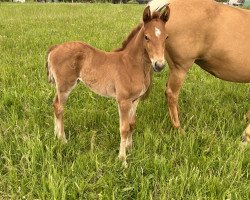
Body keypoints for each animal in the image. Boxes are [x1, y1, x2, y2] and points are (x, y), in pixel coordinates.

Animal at [45, 5, 170, 166]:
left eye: (166, 37)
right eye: (146, 37)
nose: (159, 65)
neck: (131, 64)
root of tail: (55, 47)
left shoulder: (135, 100)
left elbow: (132, 124)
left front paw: (130, 148)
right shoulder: (123, 101)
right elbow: (124, 128)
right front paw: (122, 160)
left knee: (55, 105)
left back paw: (56, 135)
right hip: (65, 85)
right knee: (59, 108)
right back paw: (63, 140)